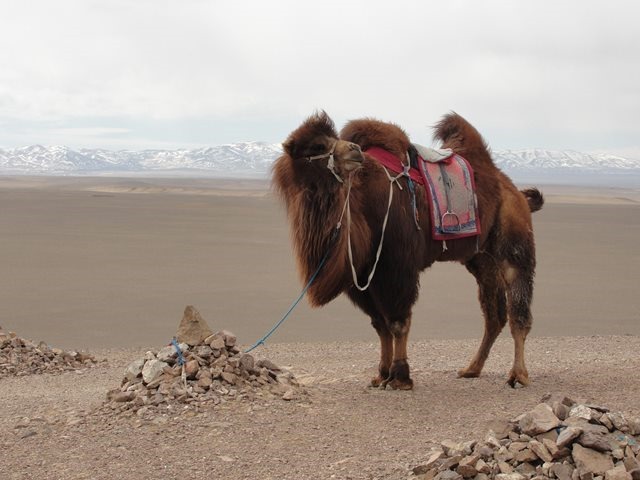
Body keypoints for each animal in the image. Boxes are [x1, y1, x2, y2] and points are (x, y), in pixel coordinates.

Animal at [272, 112, 544, 390]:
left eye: (333, 139)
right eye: (317, 146)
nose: (354, 150)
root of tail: (515, 192)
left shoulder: (396, 267)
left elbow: (398, 322)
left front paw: (400, 376)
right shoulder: (364, 275)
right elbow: (379, 325)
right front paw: (381, 374)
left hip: (513, 241)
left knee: (518, 310)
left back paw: (518, 375)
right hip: (480, 258)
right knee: (494, 314)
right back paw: (471, 369)